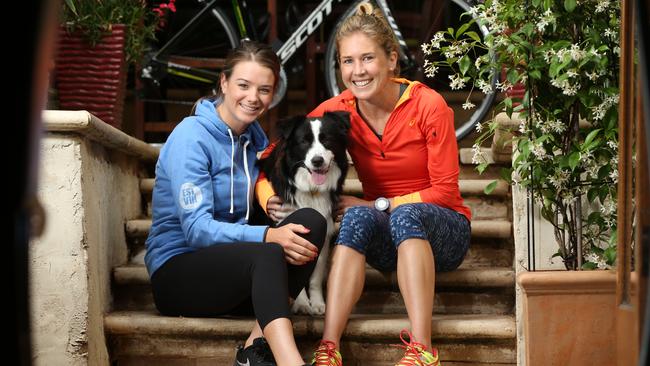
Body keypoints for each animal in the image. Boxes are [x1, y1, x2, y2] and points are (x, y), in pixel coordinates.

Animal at [258, 111, 350, 314]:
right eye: (304, 142)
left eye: (326, 139)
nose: (317, 161)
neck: (311, 190)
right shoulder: (287, 231)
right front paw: (301, 304)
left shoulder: (324, 232)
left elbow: (315, 275)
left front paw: (317, 304)